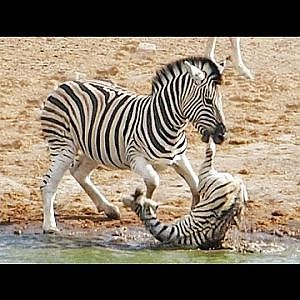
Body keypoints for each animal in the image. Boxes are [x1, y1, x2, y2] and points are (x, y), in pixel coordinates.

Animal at [40, 56, 227, 234]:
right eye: (208, 100)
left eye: (220, 100)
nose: (222, 135)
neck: (166, 122)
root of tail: (64, 85)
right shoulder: (136, 158)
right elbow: (153, 180)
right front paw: (147, 207)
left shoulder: (179, 158)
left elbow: (195, 185)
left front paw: (194, 211)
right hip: (64, 147)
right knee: (48, 185)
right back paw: (50, 226)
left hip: (94, 148)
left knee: (79, 173)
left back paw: (108, 209)